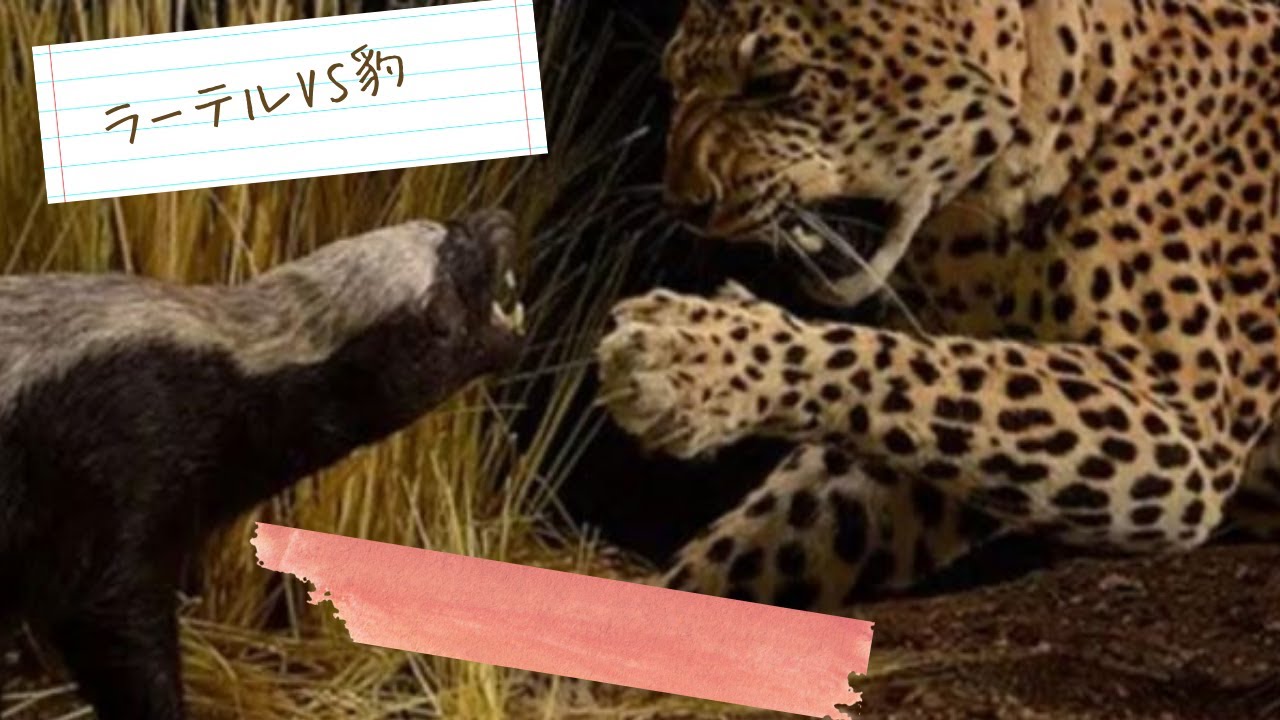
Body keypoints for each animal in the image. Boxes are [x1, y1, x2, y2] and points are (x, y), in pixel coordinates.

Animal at [595, 0, 1280, 614]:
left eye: (775, 82)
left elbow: (918, 361)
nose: (686, 204)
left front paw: (691, 355)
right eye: (675, 84)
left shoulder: (1185, 422)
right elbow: (769, 531)